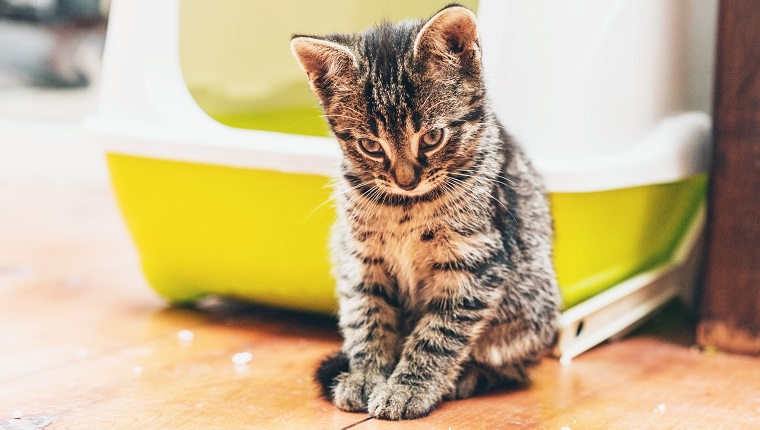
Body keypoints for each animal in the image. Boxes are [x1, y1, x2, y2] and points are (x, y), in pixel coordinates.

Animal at [290, 3, 564, 420]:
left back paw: (469, 376)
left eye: (432, 137)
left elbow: (438, 334)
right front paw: (366, 376)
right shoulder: (360, 258)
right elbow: (368, 318)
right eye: (371, 146)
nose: (406, 180)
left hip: (533, 306)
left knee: (513, 367)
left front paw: (408, 388)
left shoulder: (475, 261)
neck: (405, 207)